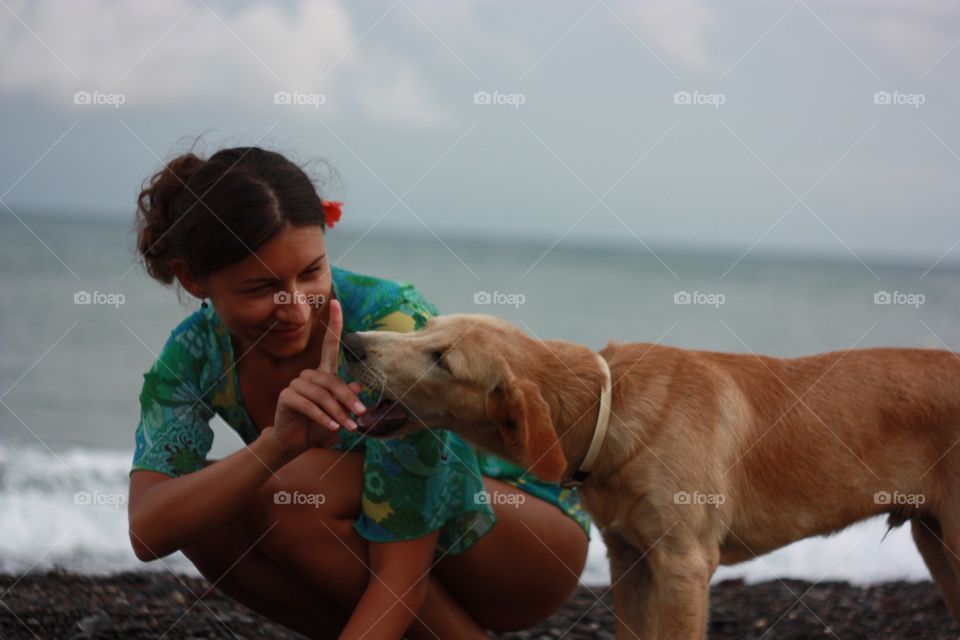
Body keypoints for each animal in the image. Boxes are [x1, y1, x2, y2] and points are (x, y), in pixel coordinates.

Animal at [344, 316, 960, 640]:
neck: (609, 407)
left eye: (442, 360)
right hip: (934, 542)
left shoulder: (683, 565)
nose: (351, 343)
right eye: (426, 328)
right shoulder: (629, 560)